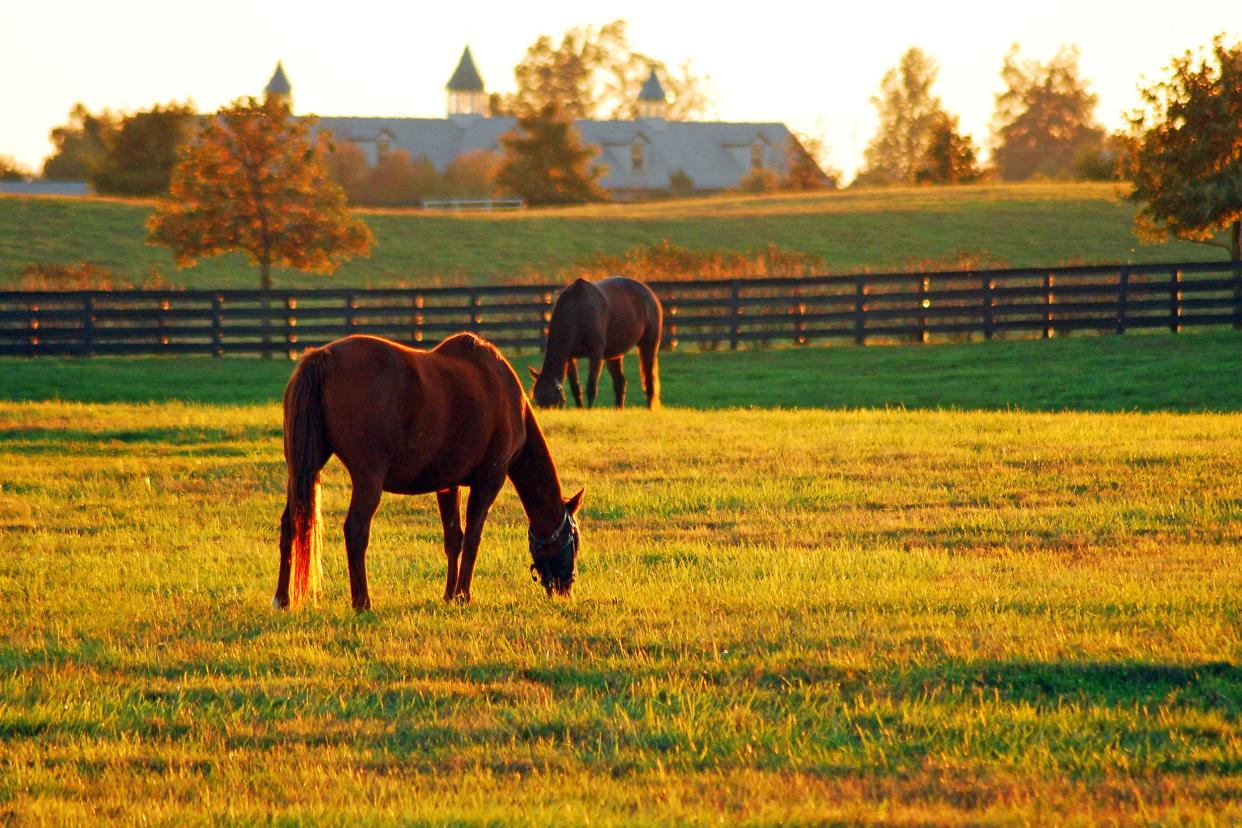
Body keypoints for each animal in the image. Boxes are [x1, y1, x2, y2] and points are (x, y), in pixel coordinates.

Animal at [274, 332, 583, 613]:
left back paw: (282, 599)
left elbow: (454, 539)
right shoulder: (489, 479)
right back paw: (362, 602)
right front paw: (463, 595)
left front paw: (449, 595)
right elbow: (473, 538)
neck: (507, 395)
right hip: (368, 478)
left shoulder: (447, 484)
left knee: (290, 523)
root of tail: (323, 357)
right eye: (575, 539)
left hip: (302, 468)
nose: (566, 587)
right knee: (356, 530)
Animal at [524, 276, 660, 409]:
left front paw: (588, 411)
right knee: (620, 382)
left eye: (555, 402)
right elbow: (575, 387)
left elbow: (591, 387)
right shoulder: (570, 358)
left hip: (648, 346)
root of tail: (650, 294)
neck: (577, 311)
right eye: (538, 402)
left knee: (648, 379)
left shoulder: (596, 354)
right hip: (614, 354)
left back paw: (649, 408)